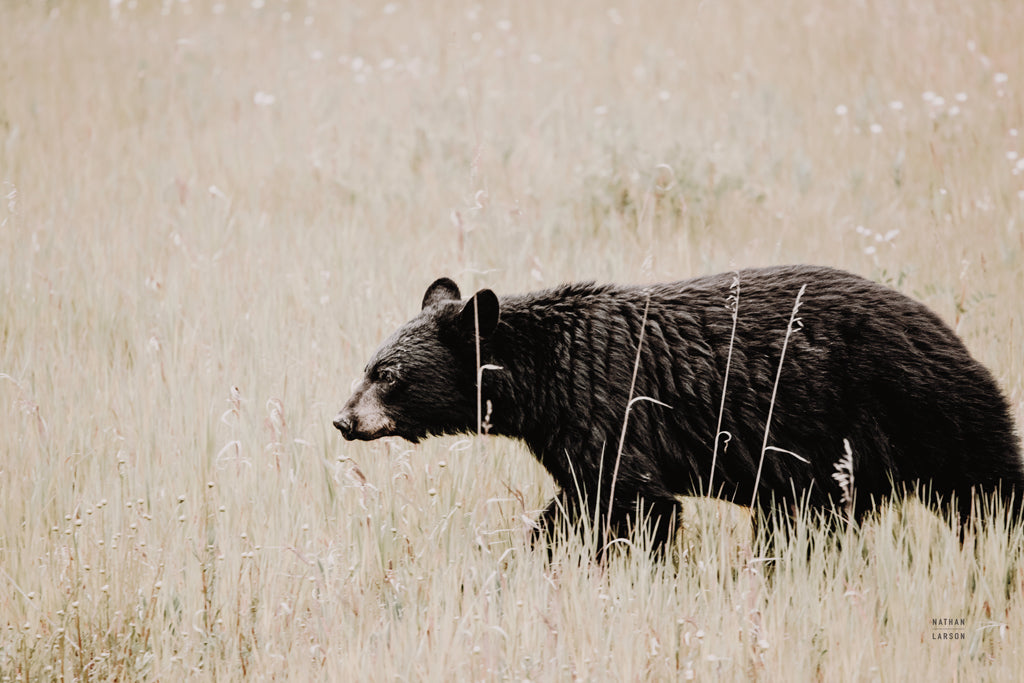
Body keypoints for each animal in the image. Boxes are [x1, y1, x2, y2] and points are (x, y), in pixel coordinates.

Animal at [331, 266, 1019, 548]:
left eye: (387, 374)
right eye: (367, 365)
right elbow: (582, 500)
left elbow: (637, 503)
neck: (546, 375)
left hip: (920, 408)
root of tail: (947, 332)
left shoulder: (610, 407)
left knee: (986, 488)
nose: (343, 420)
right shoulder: (572, 434)